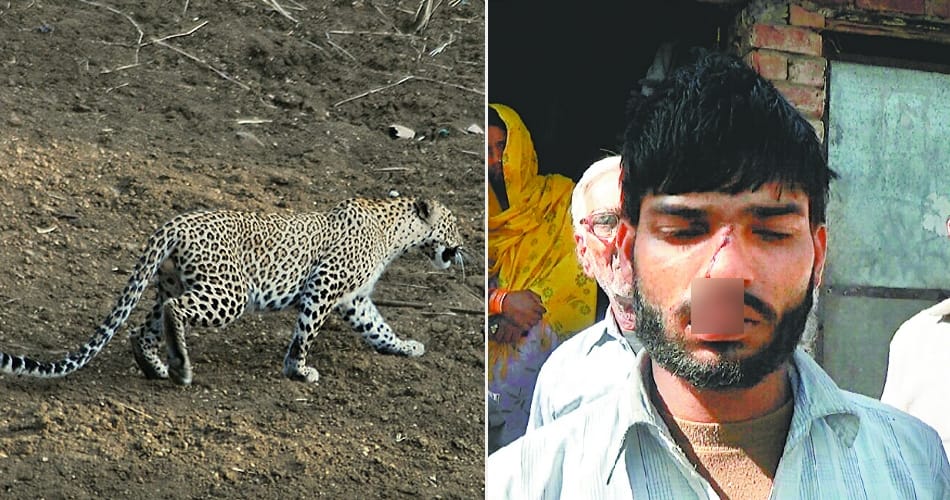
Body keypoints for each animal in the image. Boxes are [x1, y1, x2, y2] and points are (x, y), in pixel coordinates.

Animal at [0, 196, 465, 385]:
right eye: (455, 224)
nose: (463, 246)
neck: (395, 234)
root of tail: (175, 223)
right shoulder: (324, 287)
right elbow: (305, 334)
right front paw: (298, 371)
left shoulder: (355, 300)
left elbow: (380, 329)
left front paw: (404, 347)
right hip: (229, 293)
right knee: (175, 311)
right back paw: (181, 367)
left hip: (173, 284)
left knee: (143, 327)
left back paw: (159, 367)